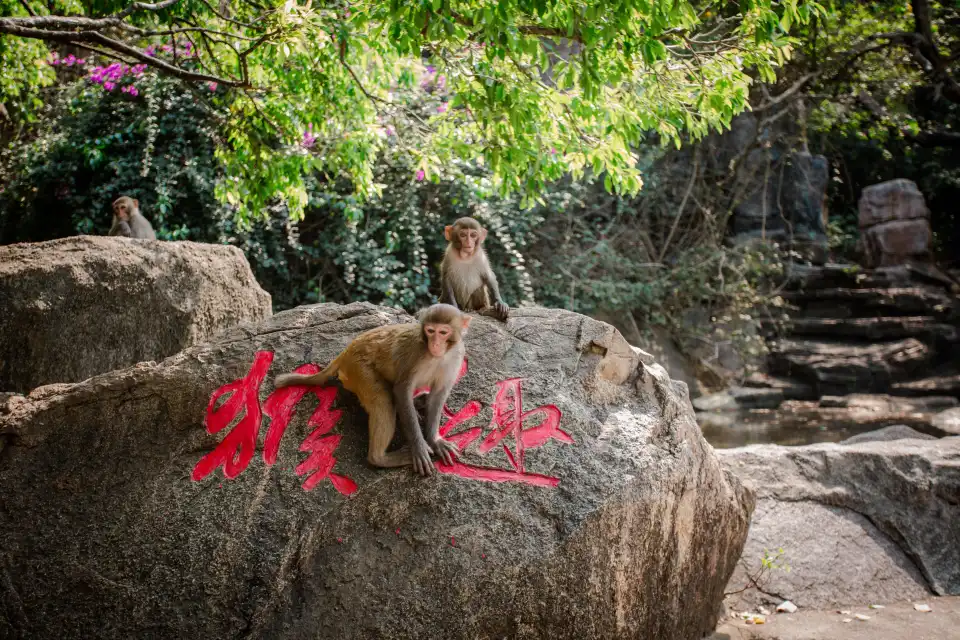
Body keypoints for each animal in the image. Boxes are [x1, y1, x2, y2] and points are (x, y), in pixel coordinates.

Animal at [274, 304, 470, 476]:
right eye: (430, 331)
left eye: (443, 332)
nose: (435, 344)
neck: (439, 356)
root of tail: (346, 351)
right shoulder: (416, 355)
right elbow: (402, 390)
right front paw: (419, 447)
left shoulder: (456, 357)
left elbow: (438, 395)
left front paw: (436, 440)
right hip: (360, 371)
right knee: (383, 400)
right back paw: (380, 458)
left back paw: (419, 403)